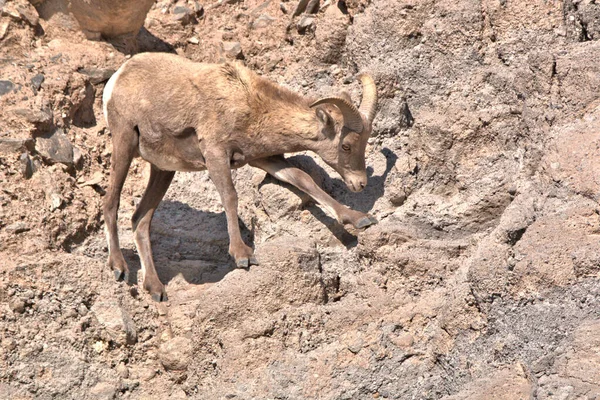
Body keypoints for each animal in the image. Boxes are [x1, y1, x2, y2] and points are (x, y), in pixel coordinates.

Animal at [101, 54, 378, 304]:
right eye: (346, 146)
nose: (360, 183)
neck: (250, 105)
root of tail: (118, 77)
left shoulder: (264, 159)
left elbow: (304, 179)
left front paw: (359, 218)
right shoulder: (215, 153)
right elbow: (230, 196)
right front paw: (242, 255)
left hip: (163, 169)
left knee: (140, 220)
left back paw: (156, 289)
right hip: (124, 142)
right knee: (110, 202)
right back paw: (119, 268)